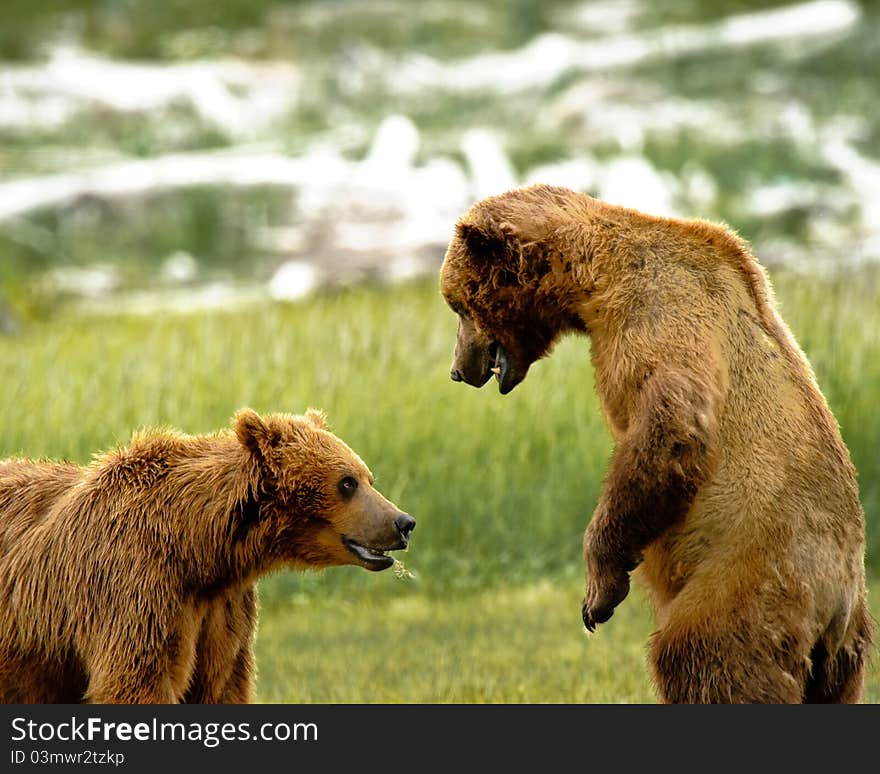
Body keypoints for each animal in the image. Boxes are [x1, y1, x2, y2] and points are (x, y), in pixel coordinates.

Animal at [0, 410, 416, 708]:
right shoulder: (134, 586)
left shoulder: (221, 608)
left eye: (368, 477)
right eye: (347, 482)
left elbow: (220, 681)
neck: (197, 549)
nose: (403, 522)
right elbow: (139, 678)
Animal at [440, 185, 872, 708]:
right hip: (847, 654)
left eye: (458, 305)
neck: (594, 281)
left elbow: (671, 426)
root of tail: (836, 609)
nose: (458, 369)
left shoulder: (657, 314)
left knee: (704, 655)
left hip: (750, 577)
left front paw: (599, 591)